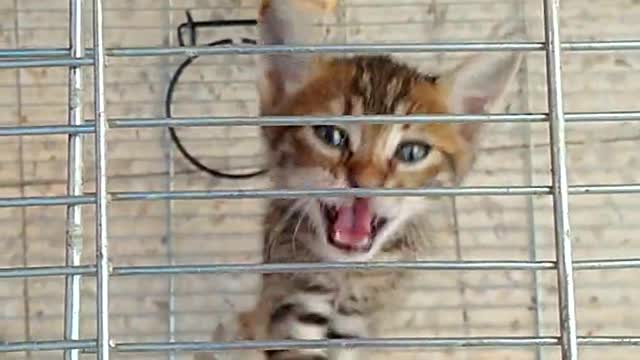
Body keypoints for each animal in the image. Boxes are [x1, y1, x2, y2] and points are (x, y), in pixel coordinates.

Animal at [208, 0, 524, 360]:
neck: (347, 276)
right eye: (330, 136)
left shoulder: (359, 322)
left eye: (412, 152)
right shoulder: (292, 298)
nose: (366, 182)